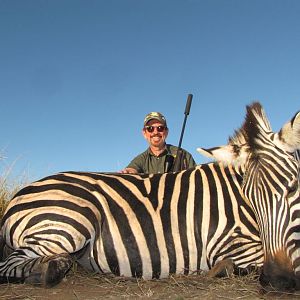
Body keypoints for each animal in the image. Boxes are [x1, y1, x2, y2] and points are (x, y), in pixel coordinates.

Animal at [0, 102, 298, 290]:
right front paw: (221, 270)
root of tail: (17, 196)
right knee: (8, 264)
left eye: (292, 187)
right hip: (72, 220)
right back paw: (47, 272)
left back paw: (58, 265)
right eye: (250, 197)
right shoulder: (228, 244)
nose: (278, 280)